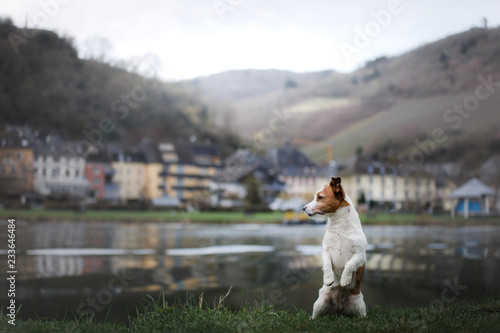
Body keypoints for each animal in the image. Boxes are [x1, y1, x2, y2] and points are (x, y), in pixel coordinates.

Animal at [300, 176, 368, 316]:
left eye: (320, 197)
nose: (303, 208)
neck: (340, 228)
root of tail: (339, 310)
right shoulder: (326, 251)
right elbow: (327, 265)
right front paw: (328, 279)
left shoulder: (359, 255)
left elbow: (349, 265)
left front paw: (345, 280)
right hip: (319, 304)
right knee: (315, 315)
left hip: (360, 306)